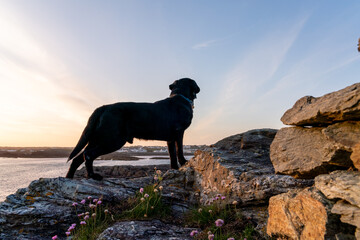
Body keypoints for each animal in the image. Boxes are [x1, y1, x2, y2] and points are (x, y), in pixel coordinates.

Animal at [65, 78, 200, 179]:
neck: (180, 97)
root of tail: (103, 107)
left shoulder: (170, 139)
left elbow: (172, 154)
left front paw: (175, 169)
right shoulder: (179, 132)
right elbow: (179, 150)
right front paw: (184, 162)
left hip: (97, 139)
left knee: (78, 158)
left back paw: (69, 177)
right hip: (112, 140)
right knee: (88, 154)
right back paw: (93, 175)